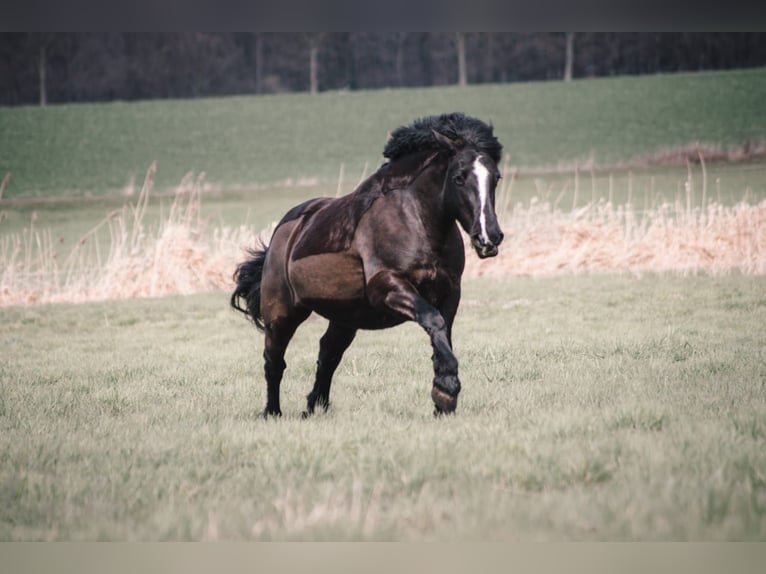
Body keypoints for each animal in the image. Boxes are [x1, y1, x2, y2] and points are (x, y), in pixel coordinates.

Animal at [231, 112, 508, 418]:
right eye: (459, 177)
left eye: (496, 178)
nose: (489, 237)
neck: (415, 220)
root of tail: (284, 231)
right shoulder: (387, 286)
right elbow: (432, 319)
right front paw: (446, 390)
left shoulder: (450, 292)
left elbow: (441, 331)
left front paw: (442, 398)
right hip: (282, 313)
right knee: (274, 361)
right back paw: (273, 412)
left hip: (345, 316)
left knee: (328, 353)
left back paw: (316, 406)